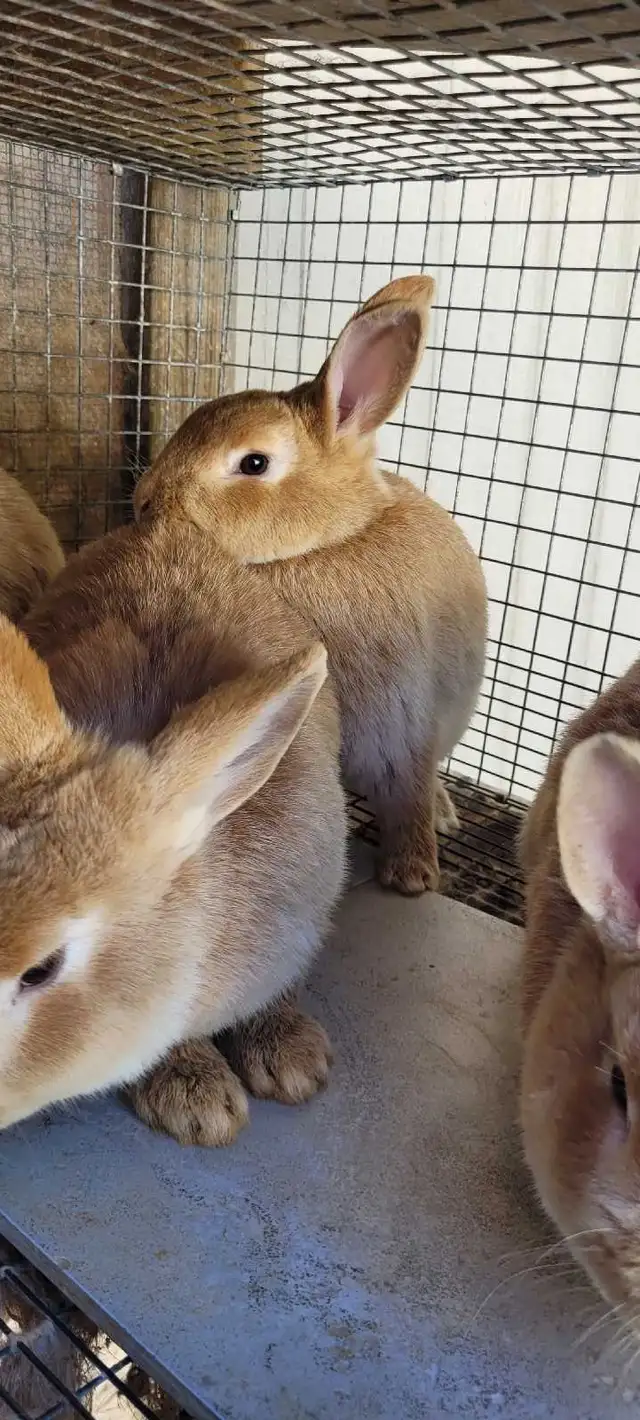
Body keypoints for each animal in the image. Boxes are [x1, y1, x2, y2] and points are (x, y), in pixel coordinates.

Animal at [132, 275, 488, 897]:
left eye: (254, 463)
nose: (142, 503)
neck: (321, 544)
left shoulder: (402, 723)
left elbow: (406, 794)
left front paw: (413, 876)